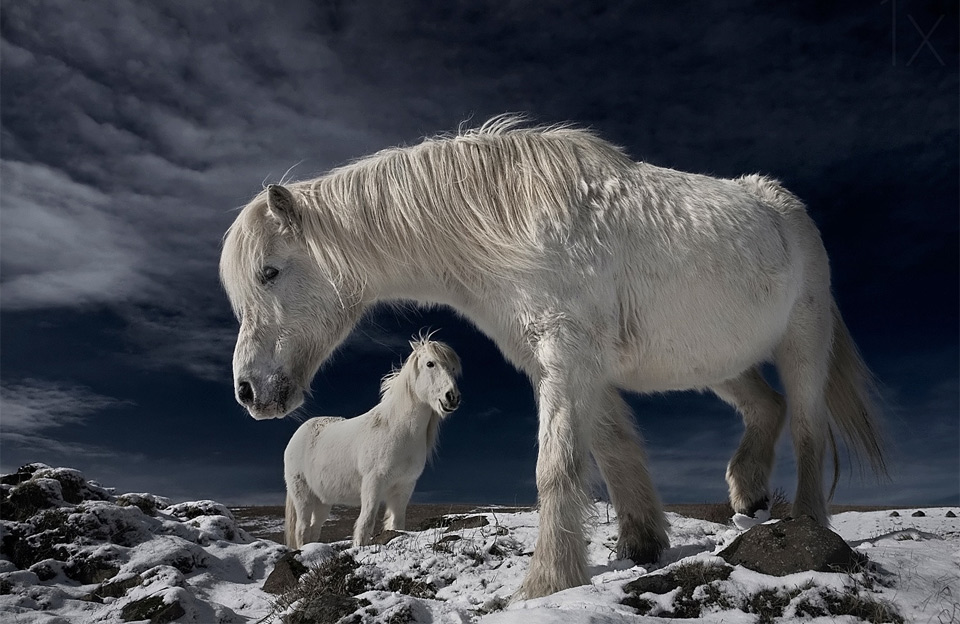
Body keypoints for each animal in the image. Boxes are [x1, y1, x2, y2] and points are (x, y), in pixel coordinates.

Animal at [283, 336, 462, 548]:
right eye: (430, 364)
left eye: (453, 368)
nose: (452, 397)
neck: (398, 431)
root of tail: (298, 434)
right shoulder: (373, 483)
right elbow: (366, 522)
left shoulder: (403, 488)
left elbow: (397, 524)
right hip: (303, 495)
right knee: (302, 529)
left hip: (322, 500)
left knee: (313, 529)